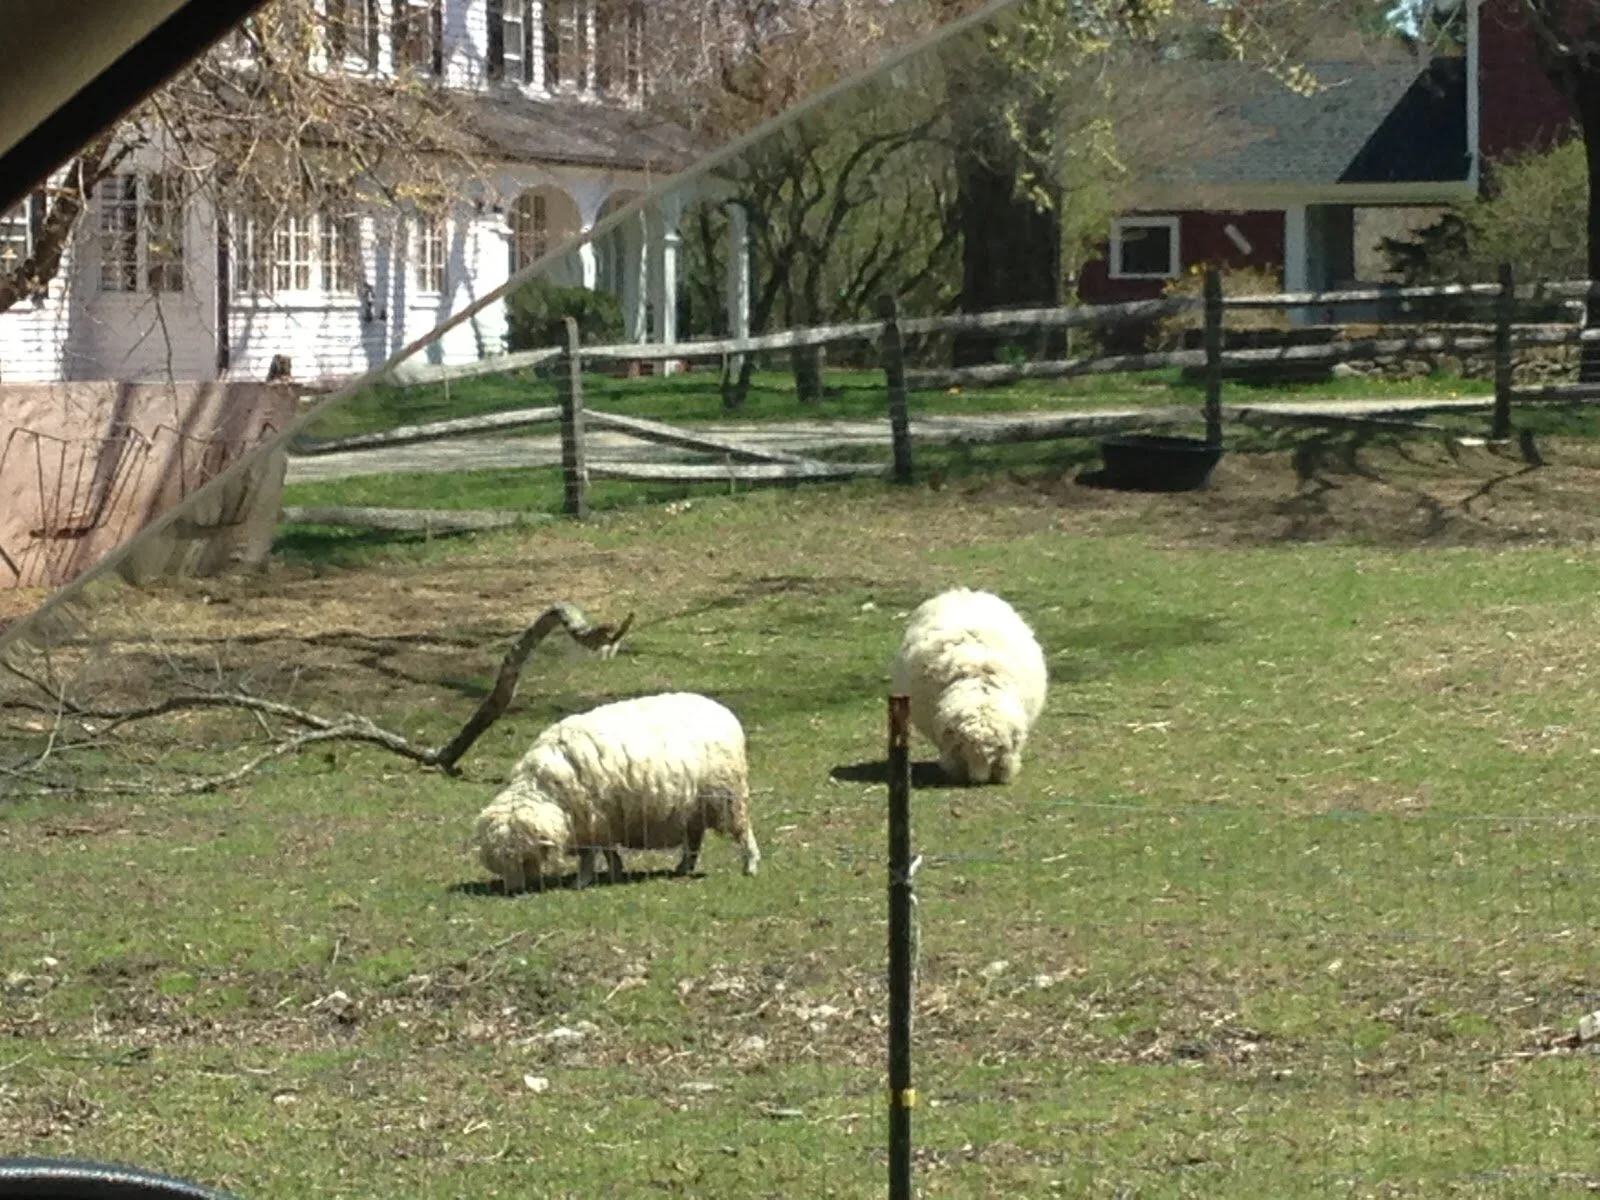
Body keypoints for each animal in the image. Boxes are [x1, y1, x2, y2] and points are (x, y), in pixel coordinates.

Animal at [493, 692, 761, 888]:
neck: (544, 790)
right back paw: (683, 868)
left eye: (523, 859)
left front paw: (583, 881)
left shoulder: (591, 822)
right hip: (695, 808)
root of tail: (723, 712)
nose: (515, 890)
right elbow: (607, 851)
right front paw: (615, 870)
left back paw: (750, 865)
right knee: (694, 840)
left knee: (742, 831)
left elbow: (589, 857)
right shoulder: (601, 822)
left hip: (726, 796)